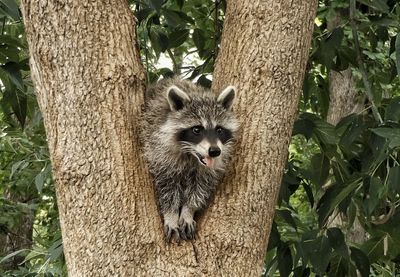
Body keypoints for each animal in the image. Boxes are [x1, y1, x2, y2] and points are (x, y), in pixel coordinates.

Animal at [141, 77, 238, 242]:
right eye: (197, 129)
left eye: (219, 129)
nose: (214, 151)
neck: (191, 155)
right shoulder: (158, 152)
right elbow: (167, 187)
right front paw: (171, 215)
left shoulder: (208, 170)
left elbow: (200, 188)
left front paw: (188, 211)